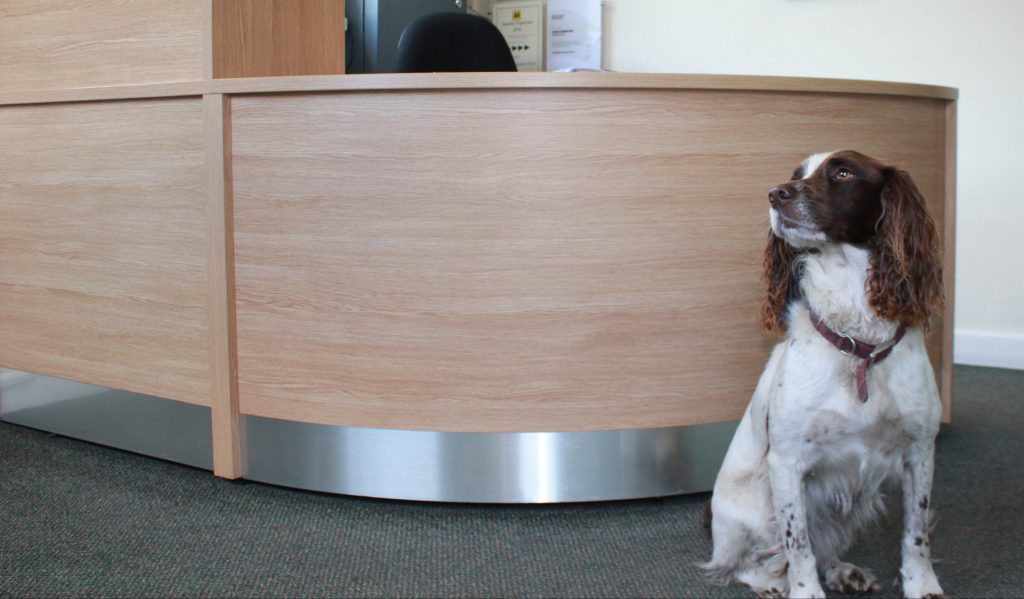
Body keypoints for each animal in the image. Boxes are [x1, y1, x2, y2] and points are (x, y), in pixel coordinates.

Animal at [704, 150, 942, 597]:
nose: (776, 193)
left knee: (824, 548)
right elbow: (798, 546)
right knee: (742, 561)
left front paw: (922, 584)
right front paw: (803, 590)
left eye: (844, 173)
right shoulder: (787, 461)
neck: (860, 347)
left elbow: (917, 531)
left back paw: (843, 571)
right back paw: (769, 583)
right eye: (796, 175)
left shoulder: (920, 450)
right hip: (751, 509)